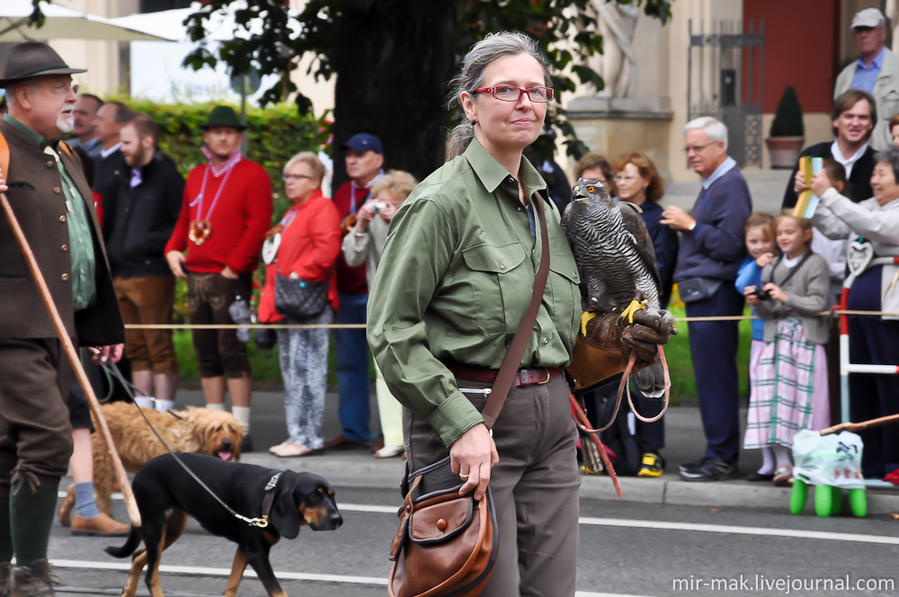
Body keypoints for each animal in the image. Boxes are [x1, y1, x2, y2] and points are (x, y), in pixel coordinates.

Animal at [58, 400, 244, 528]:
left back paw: (66, 516)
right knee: (101, 495)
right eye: (216, 429)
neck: (188, 436)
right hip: (104, 465)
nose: (227, 444)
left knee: (75, 488)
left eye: (232, 430)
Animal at [105, 452, 342, 596]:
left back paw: (128, 591)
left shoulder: (245, 549)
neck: (269, 495)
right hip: (156, 526)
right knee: (151, 576)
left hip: (170, 529)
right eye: (314, 495)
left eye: (332, 496)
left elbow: (232, 585)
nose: (338, 520)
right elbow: (278, 591)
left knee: (138, 557)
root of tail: (140, 471)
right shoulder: (257, 554)